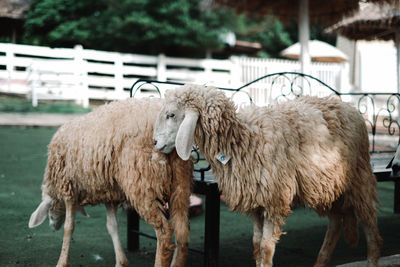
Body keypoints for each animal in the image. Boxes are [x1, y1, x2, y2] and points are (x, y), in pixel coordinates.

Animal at [28, 98, 194, 267]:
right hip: (181, 183)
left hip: (142, 184)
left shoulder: (69, 188)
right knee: (182, 233)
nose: (52, 227)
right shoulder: (109, 193)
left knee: (164, 234)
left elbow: (69, 227)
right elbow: (112, 226)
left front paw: (62, 261)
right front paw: (121, 261)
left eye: (48, 210)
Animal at [152, 85, 382, 267]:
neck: (242, 139)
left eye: (171, 115)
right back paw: (320, 261)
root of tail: (349, 107)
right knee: (335, 223)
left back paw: (372, 257)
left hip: (359, 179)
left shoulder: (274, 200)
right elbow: (256, 244)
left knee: (370, 227)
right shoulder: (256, 200)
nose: (154, 142)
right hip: (328, 185)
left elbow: (265, 248)